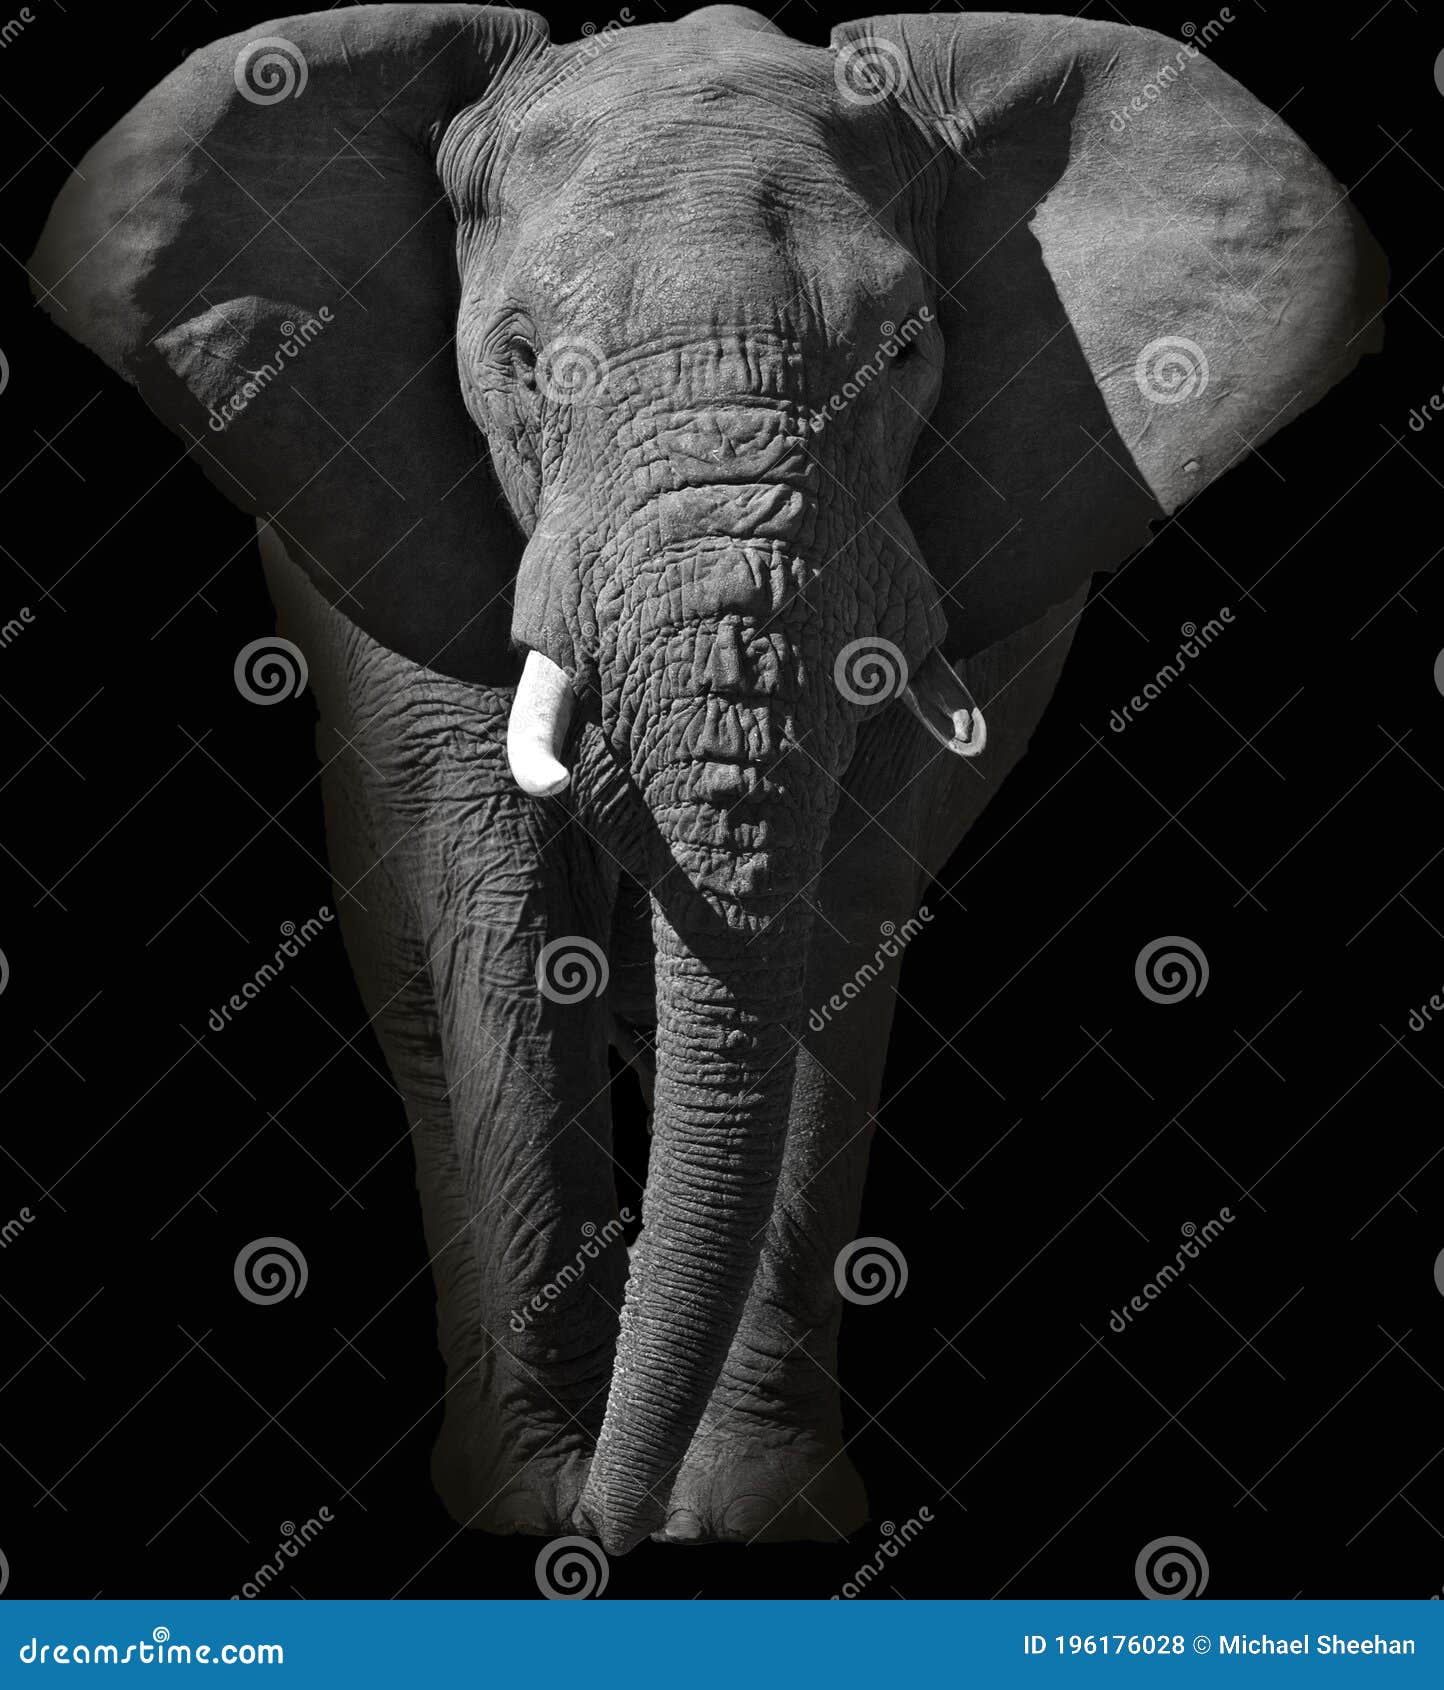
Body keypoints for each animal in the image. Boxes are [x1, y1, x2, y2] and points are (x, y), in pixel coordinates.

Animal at [30, 3, 1383, 1556]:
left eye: (908, 350)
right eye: (521, 361)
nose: (612, 1540)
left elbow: (835, 930)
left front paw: (749, 1519)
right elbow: (502, 916)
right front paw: (530, 1509)